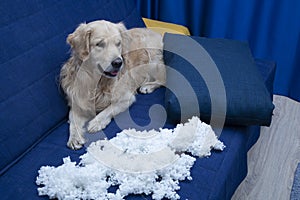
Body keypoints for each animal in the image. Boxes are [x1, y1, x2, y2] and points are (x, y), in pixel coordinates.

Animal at [59, 20, 165, 149]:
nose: (118, 63)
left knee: (164, 79)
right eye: (99, 44)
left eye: (118, 43)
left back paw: (147, 86)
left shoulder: (126, 98)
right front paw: (74, 137)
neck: (98, 83)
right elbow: (73, 121)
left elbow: (109, 109)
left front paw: (96, 122)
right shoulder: (78, 103)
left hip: (151, 59)